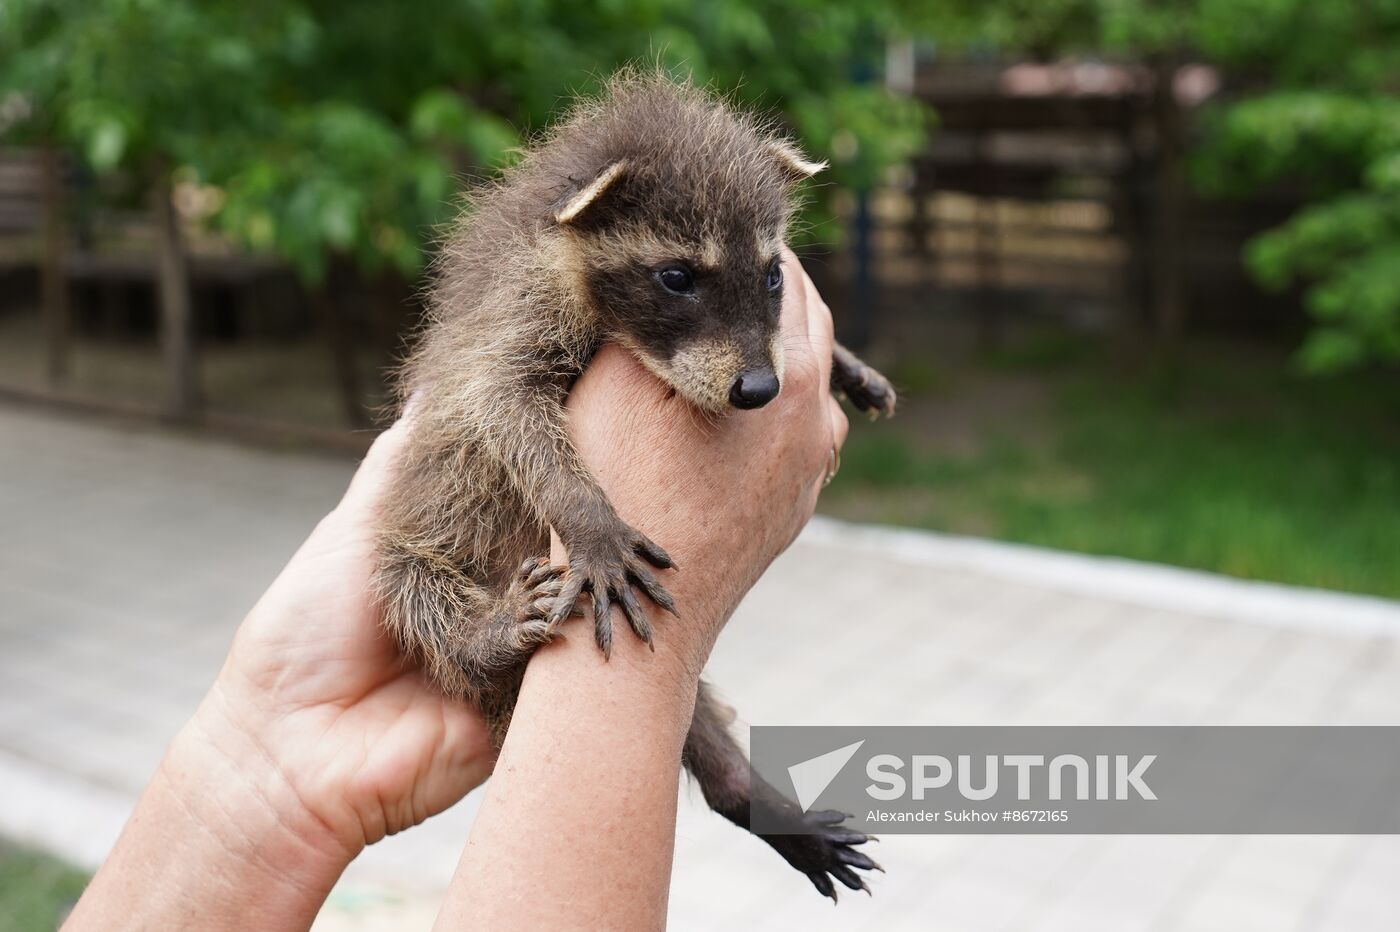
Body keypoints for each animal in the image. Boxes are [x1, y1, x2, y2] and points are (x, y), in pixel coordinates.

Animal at [375, 69, 895, 901]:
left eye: (772, 275)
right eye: (677, 277)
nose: (759, 389)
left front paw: (846, 361)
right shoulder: (515, 306)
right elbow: (502, 403)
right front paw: (588, 516)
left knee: (700, 725)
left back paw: (746, 793)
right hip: (417, 554)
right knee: (414, 593)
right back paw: (479, 636)